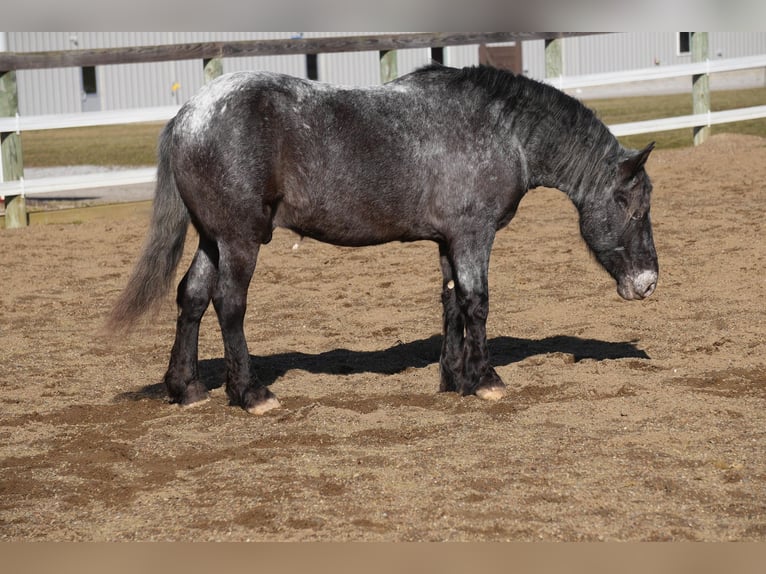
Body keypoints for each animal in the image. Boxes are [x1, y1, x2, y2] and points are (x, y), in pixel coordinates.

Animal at [108, 64, 658, 415]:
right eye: (634, 206)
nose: (648, 281)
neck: (501, 129)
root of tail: (190, 114)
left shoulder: (448, 241)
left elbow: (451, 303)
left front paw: (454, 379)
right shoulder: (473, 235)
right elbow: (477, 303)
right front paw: (486, 381)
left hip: (212, 237)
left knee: (193, 297)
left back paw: (186, 388)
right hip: (239, 238)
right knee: (228, 303)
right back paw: (250, 394)